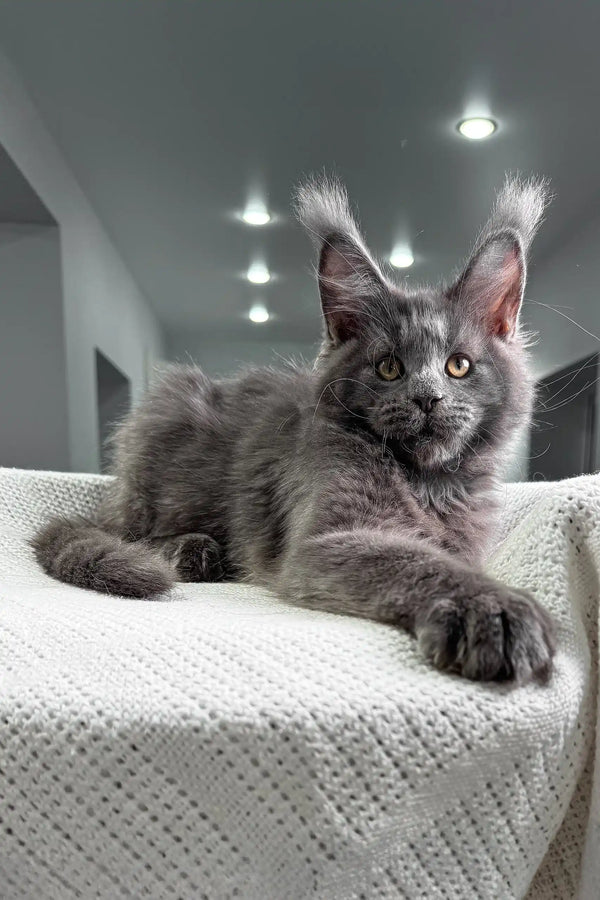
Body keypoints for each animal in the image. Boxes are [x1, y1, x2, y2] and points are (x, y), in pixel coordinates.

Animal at [34, 174, 556, 684]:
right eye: (388, 367)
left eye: (458, 365)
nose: (427, 398)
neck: (427, 483)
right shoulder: (323, 540)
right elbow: (416, 559)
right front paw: (493, 609)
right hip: (165, 421)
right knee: (125, 532)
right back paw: (191, 550)